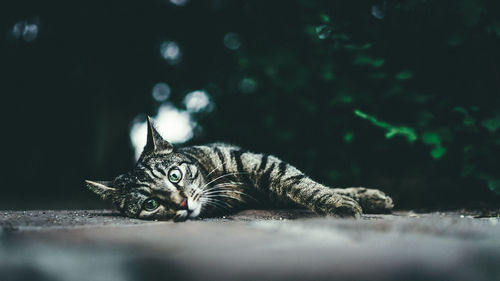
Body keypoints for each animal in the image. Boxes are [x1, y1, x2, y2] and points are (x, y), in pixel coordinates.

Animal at [86, 116, 392, 221]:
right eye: (150, 204)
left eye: (175, 175)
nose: (182, 202)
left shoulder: (262, 164)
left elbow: (299, 182)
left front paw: (342, 201)